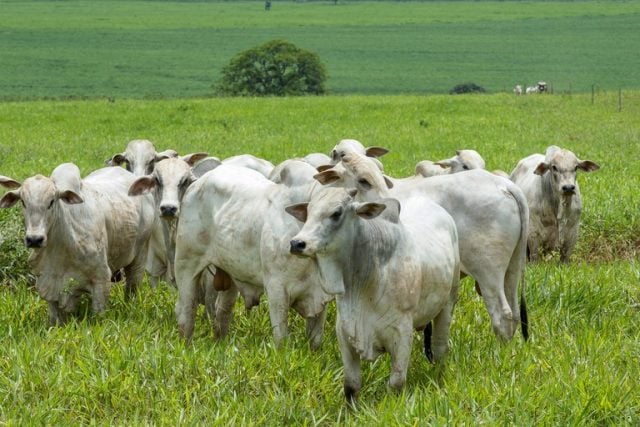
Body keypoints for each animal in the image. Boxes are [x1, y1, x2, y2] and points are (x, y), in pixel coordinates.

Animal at [0, 166, 155, 326]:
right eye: (23, 202)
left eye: (51, 202)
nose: (34, 239)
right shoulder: (47, 283)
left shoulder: (101, 278)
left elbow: (98, 315)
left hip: (140, 254)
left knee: (133, 284)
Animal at [175, 164, 336, 348]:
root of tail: (197, 183)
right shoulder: (276, 289)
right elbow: (281, 337)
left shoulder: (320, 298)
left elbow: (315, 340)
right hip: (185, 264)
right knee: (186, 310)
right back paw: (186, 345)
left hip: (230, 273)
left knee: (222, 311)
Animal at [286, 187, 460, 402]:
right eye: (309, 212)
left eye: (337, 213)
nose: (297, 243)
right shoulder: (344, 332)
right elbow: (351, 386)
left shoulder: (402, 333)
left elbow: (396, 383)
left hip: (448, 303)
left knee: (440, 348)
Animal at [316, 152, 528, 342]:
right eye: (363, 180)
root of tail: (505, 185)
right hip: (512, 269)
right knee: (515, 313)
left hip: (488, 273)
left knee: (502, 316)